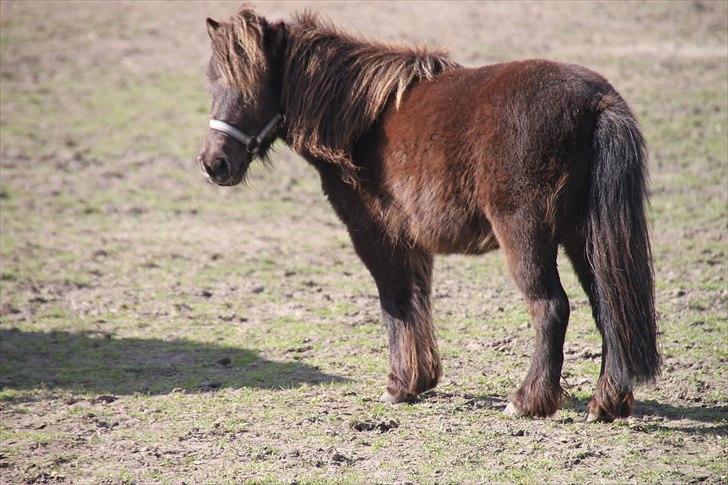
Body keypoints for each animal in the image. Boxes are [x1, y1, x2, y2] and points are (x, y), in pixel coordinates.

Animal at [198, 6, 660, 420]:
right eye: (213, 83)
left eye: (250, 82)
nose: (213, 163)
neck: (362, 120)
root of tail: (597, 102)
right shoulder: (411, 242)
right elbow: (417, 300)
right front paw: (420, 380)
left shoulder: (375, 236)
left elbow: (394, 302)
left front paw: (399, 386)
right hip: (584, 238)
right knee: (608, 306)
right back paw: (606, 403)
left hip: (526, 234)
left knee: (551, 308)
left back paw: (527, 401)